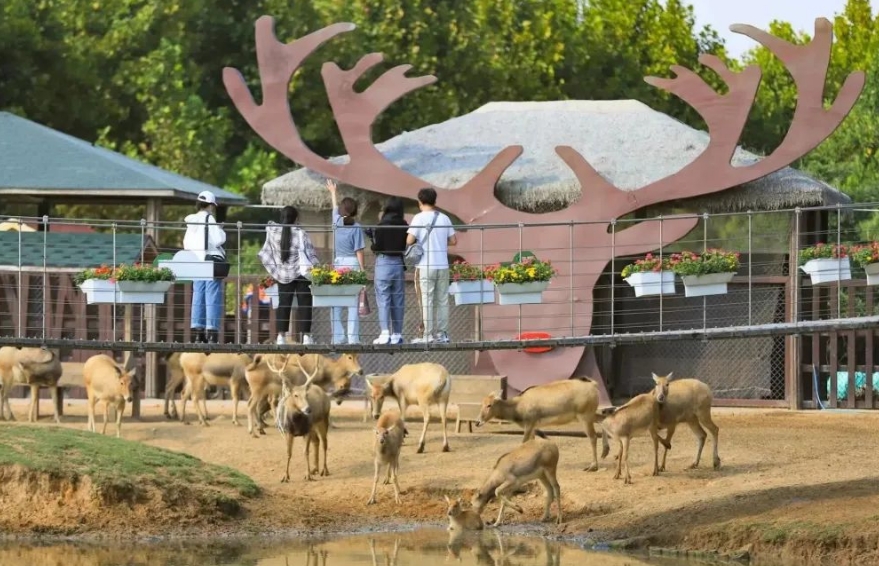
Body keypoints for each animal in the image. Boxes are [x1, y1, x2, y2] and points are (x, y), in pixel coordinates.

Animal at [474, 380, 604, 472]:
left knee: (593, 437)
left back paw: (593, 466)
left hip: (585, 417)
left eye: (489, 405)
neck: (519, 405)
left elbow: (524, 443)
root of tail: (594, 385)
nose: (478, 422)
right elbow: (532, 443)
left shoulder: (529, 424)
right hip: (590, 416)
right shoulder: (532, 427)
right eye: (482, 404)